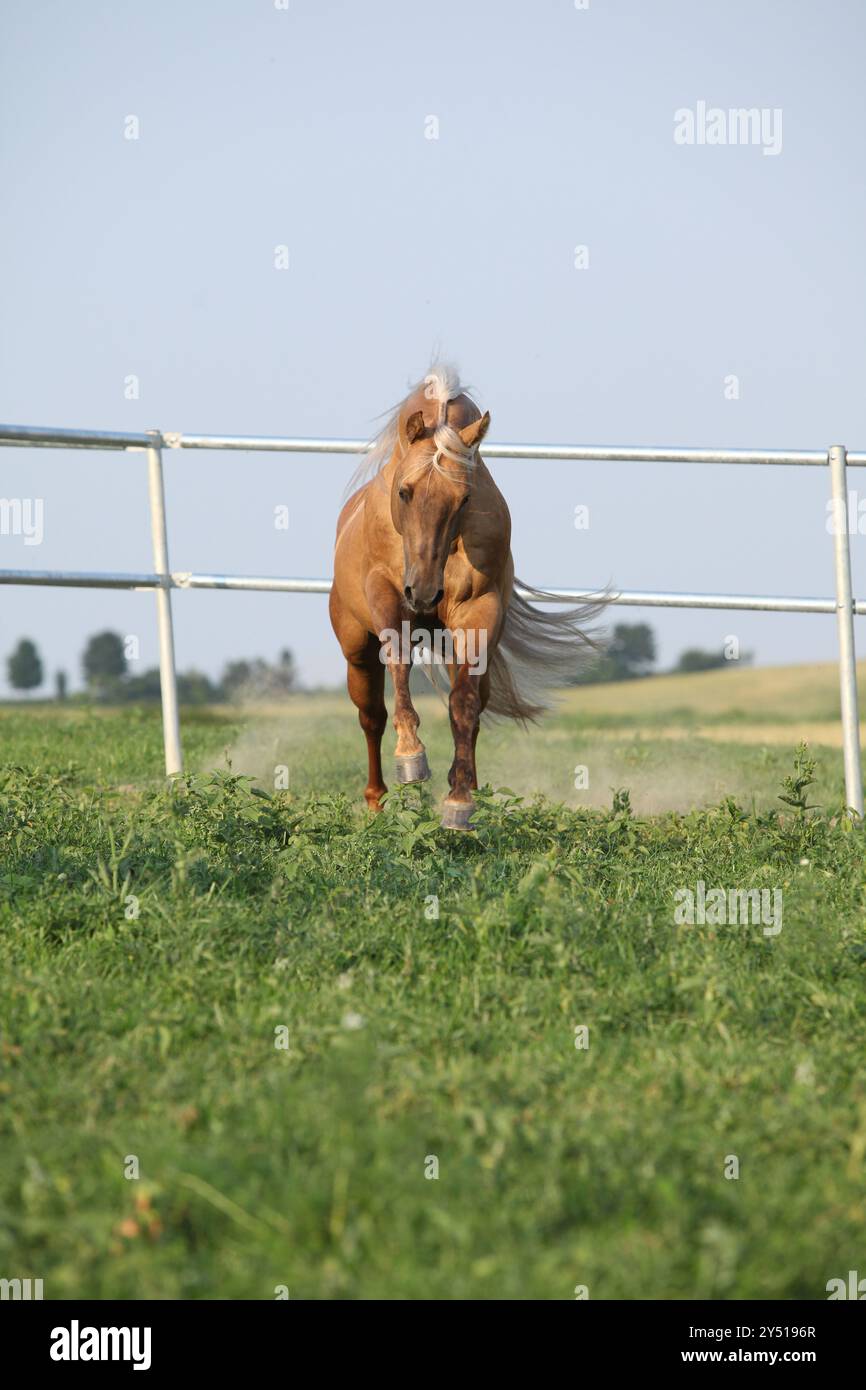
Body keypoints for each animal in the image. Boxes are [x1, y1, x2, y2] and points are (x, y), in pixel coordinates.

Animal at [328, 364, 600, 828]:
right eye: (404, 491)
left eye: (465, 497)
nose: (423, 592)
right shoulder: (387, 598)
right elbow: (399, 669)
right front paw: (412, 758)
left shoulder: (478, 614)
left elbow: (465, 707)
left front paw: (459, 802)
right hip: (357, 650)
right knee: (371, 717)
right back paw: (377, 802)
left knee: (465, 709)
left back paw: (465, 787)